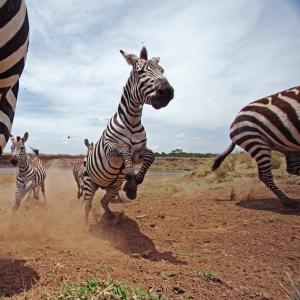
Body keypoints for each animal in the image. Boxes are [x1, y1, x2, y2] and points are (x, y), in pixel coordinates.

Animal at [83, 45, 175, 221]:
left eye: (162, 70)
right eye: (140, 72)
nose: (167, 92)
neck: (132, 121)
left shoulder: (138, 153)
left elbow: (151, 155)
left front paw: (135, 183)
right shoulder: (111, 149)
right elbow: (124, 150)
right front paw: (131, 182)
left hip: (113, 187)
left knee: (103, 202)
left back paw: (111, 218)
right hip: (88, 184)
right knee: (87, 206)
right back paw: (86, 224)